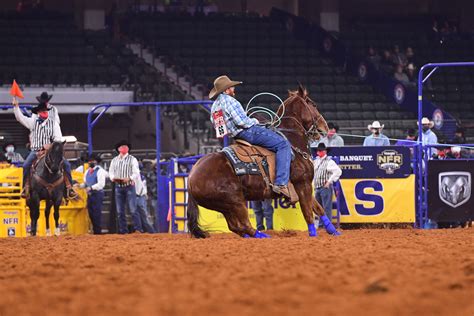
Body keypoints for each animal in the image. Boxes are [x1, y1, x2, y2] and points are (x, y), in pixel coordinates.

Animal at [186, 85, 340, 238]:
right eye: (313, 104)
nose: (324, 128)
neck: (292, 142)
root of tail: (191, 177)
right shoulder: (302, 183)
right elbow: (307, 211)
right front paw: (313, 234)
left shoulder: (303, 185)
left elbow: (318, 208)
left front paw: (333, 231)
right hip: (235, 200)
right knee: (243, 224)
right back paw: (263, 236)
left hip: (225, 206)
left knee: (235, 227)